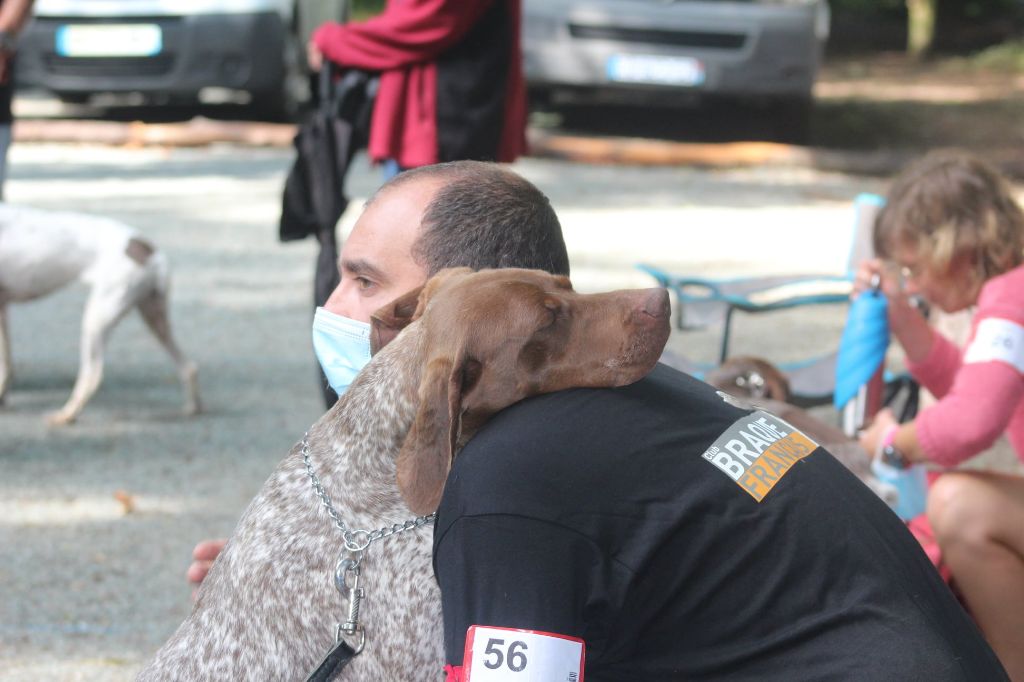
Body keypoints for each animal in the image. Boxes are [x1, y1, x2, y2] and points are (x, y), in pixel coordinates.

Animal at [0, 204, 198, 421]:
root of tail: (153, 253)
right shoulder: (3, 307)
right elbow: (6, 362)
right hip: (153, 317)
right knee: (188, 367)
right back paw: (193, 408)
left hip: (96, 319)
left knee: (92, 376)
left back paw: (66, 416)